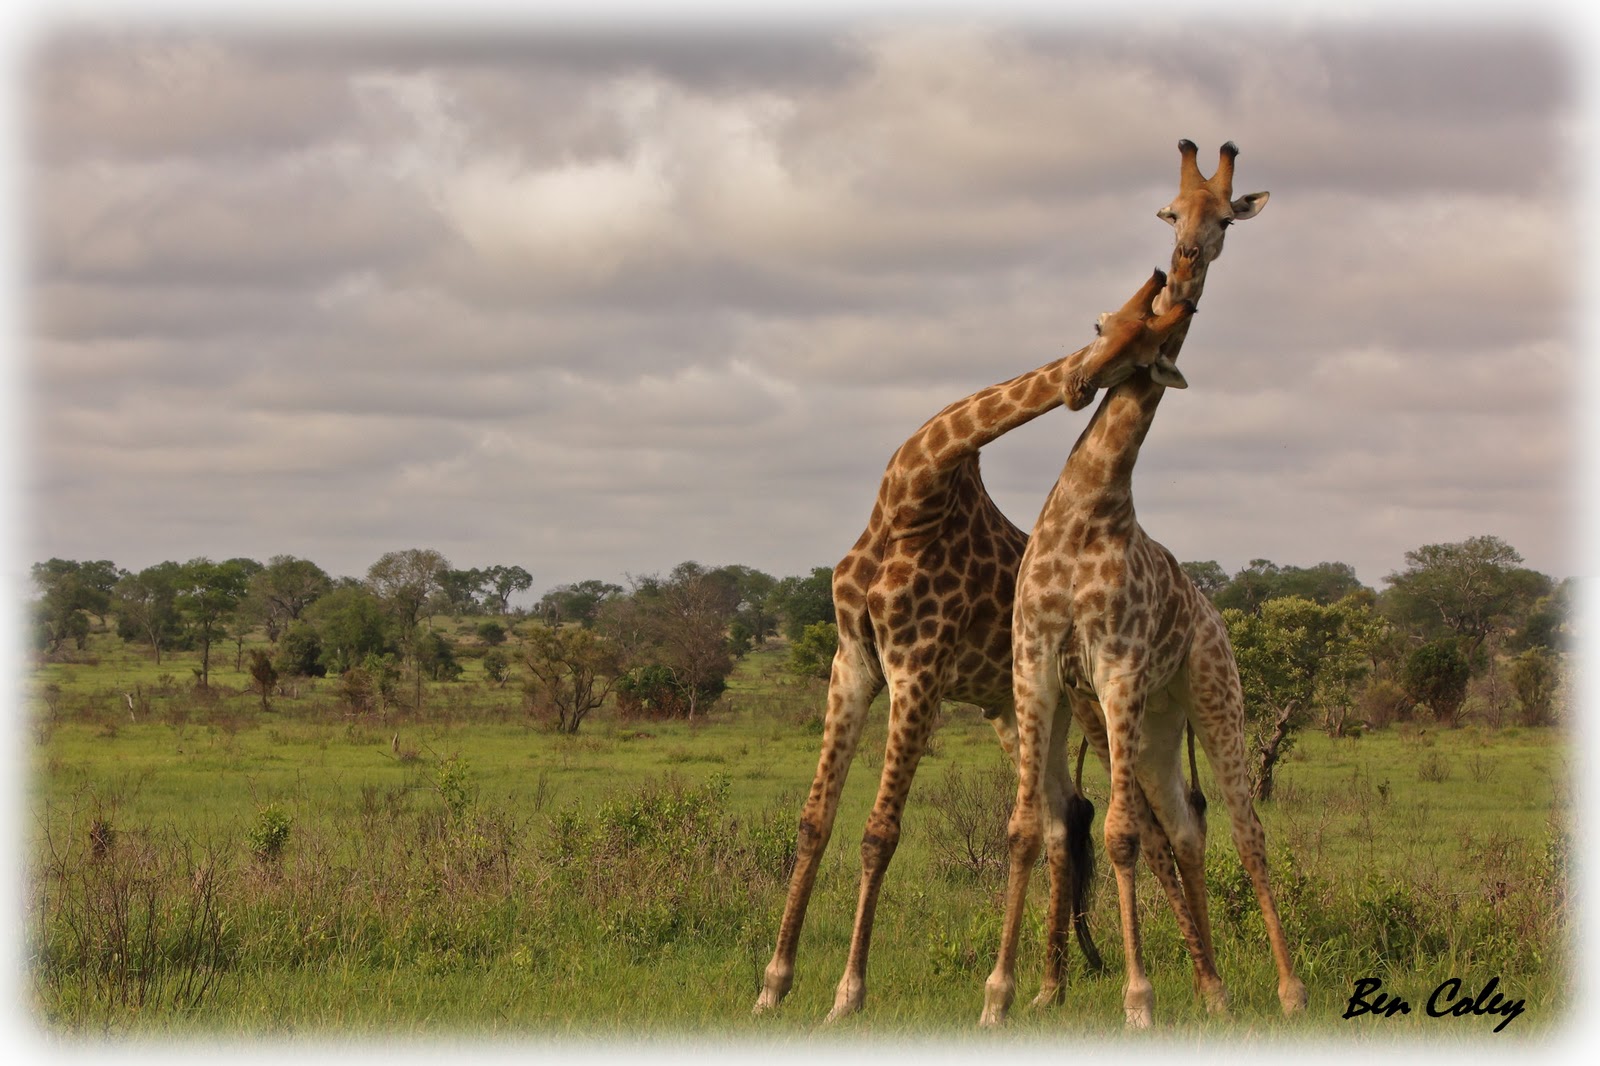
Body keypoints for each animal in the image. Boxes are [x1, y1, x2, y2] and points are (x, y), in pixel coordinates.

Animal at [751, 261, 1198, 1022]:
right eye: (1102, 324)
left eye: (1146, 354)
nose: (1081, 384)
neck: (912, 496)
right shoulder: (851, 663)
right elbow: (814, 821)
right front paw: (773, 986)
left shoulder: (918, 668)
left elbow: (879, 832)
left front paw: (846, 995)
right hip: (1020, 710)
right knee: (1065, 814)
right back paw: (1050, 988)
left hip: (1090, 703)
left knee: (1146, 824)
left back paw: (1190, 982)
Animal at [982, 142, 1305, 1029]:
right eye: (1102, 327)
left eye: (1224, 216)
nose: (1075, 386)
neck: (1092, 506)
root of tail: (1216, 618)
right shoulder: (1035, 659)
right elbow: (1025, 829)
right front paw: (999, 996)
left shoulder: (1117, 666)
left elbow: (1122, 835)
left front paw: (1137, 998)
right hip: (1159, 724)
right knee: (1188, 827)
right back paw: (1215, 989)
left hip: (1213, 698)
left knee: (1244, 830)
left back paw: (1287, 989)